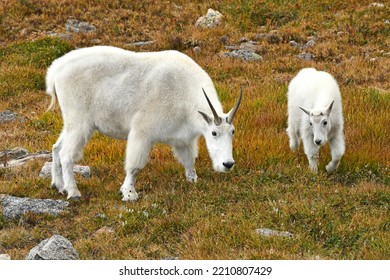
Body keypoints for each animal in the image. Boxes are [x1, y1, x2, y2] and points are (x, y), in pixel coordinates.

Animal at [45, 46, 241, 201]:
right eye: (214, 133)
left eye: (232, 131)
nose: (228, 164)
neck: (185, 93)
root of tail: (55, 71)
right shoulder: (142, 131)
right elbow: (135, 166)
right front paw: (129, 193)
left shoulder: (182, 138)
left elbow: (188, 161)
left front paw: (193, 180)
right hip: (79, 121)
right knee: (66, 154)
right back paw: (73, 192)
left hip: (72, 122)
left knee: (56, 147)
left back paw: (58, 185)